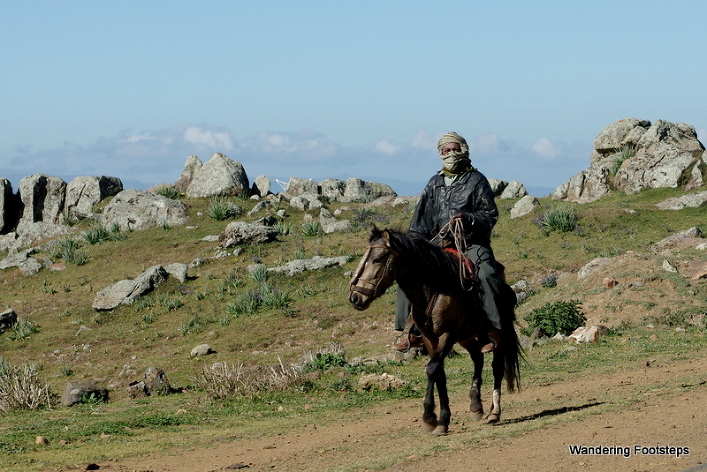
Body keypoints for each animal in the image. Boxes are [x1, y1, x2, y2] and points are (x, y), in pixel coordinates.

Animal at [348, 225, 520, 436]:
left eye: (377, 259)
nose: (355, 297)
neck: (433, 288)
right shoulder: (429, 338)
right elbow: (439, 374)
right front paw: (443, 421)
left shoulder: (447, 335)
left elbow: (432, 369)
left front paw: (429, 417)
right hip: (466, 337)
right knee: (478, 358)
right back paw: (475, 406)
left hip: (497, 333)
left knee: (497, 367)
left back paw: (494, 412)